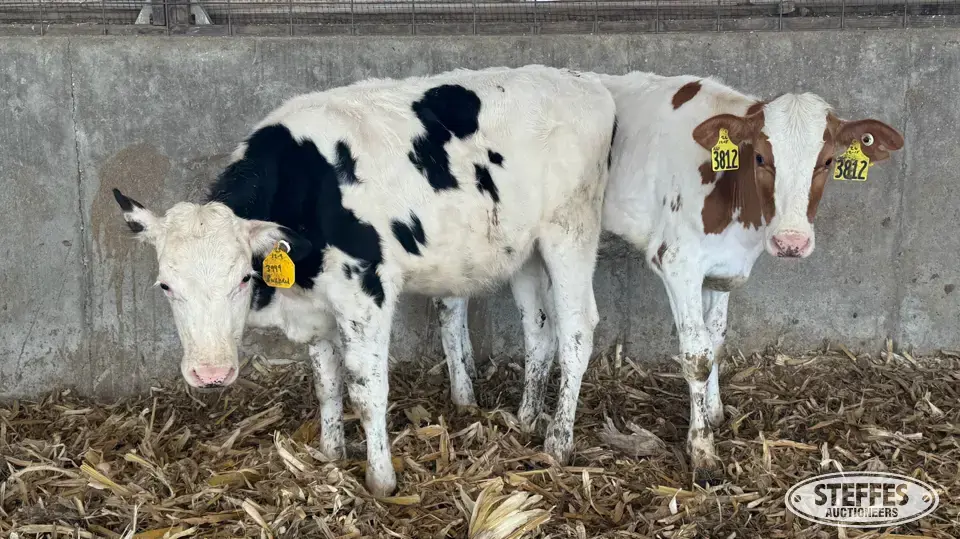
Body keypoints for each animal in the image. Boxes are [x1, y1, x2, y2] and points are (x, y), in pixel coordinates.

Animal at [111, 64, 616, 496]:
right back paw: (527, 418)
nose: (211, 374)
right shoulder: (314, 306)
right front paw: (332, 453)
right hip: (525, 252)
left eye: (242, 278)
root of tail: (583, 81)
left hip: (570, 232)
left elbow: (366, 389)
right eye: (166, 286)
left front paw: (381, 479)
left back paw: (558, 442)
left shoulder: (366, 290)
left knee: (576, 330)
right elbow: (327, 383)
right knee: (538, 330)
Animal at [432, 71, 904, 485]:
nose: (791, 241)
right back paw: (464, 396)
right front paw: (703, 450)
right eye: (760, 157)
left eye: (828, 161)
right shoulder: (676, 261)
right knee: (451, 302)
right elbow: (696, 354)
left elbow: (716, 339)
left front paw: (714, 411)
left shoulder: (722, 270)